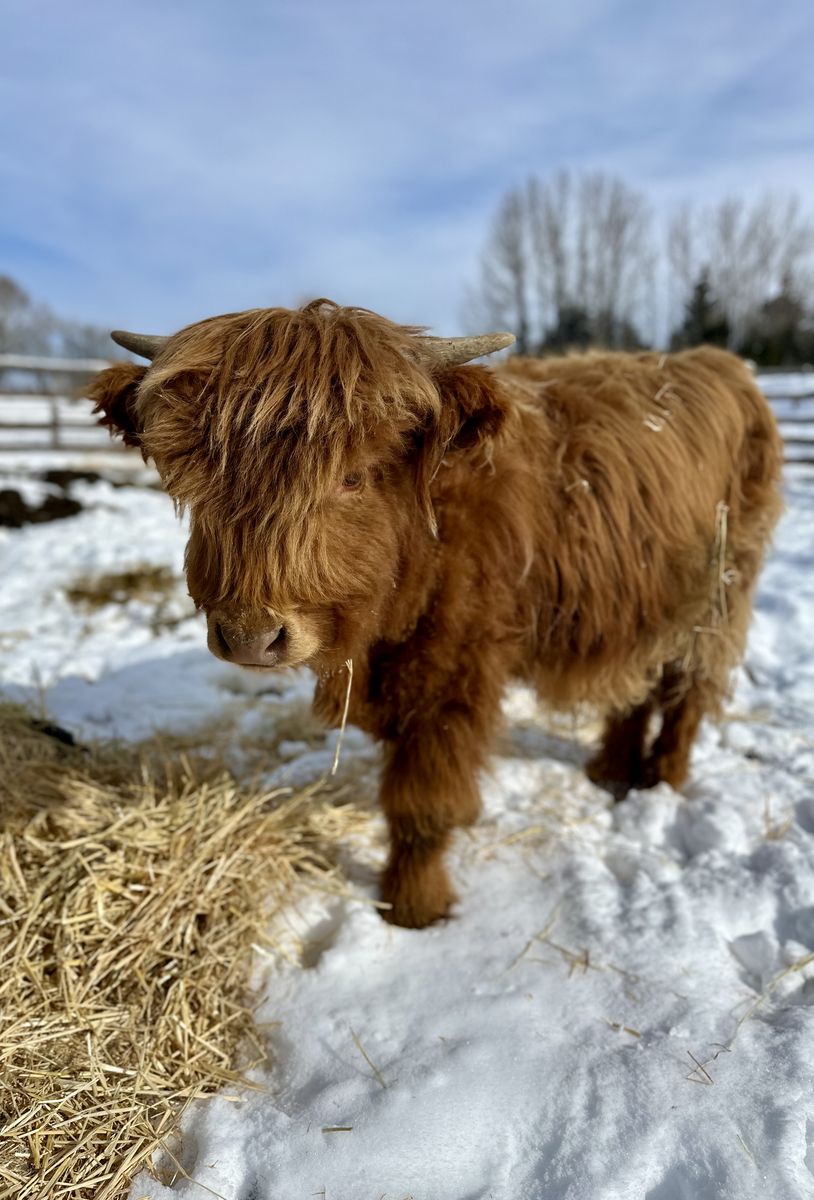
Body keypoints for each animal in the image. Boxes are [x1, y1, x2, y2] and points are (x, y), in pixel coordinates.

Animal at [88, 300, 783, 927]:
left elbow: (421, 803)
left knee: (690, 684)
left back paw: (661, 779)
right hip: (638, 600)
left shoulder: (453, 672)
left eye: (353, 477)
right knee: (638, 679)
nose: (249, 637)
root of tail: (726, 366)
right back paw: (610, 770)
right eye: (202, 479)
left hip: (721, 592)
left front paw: (413, 907)